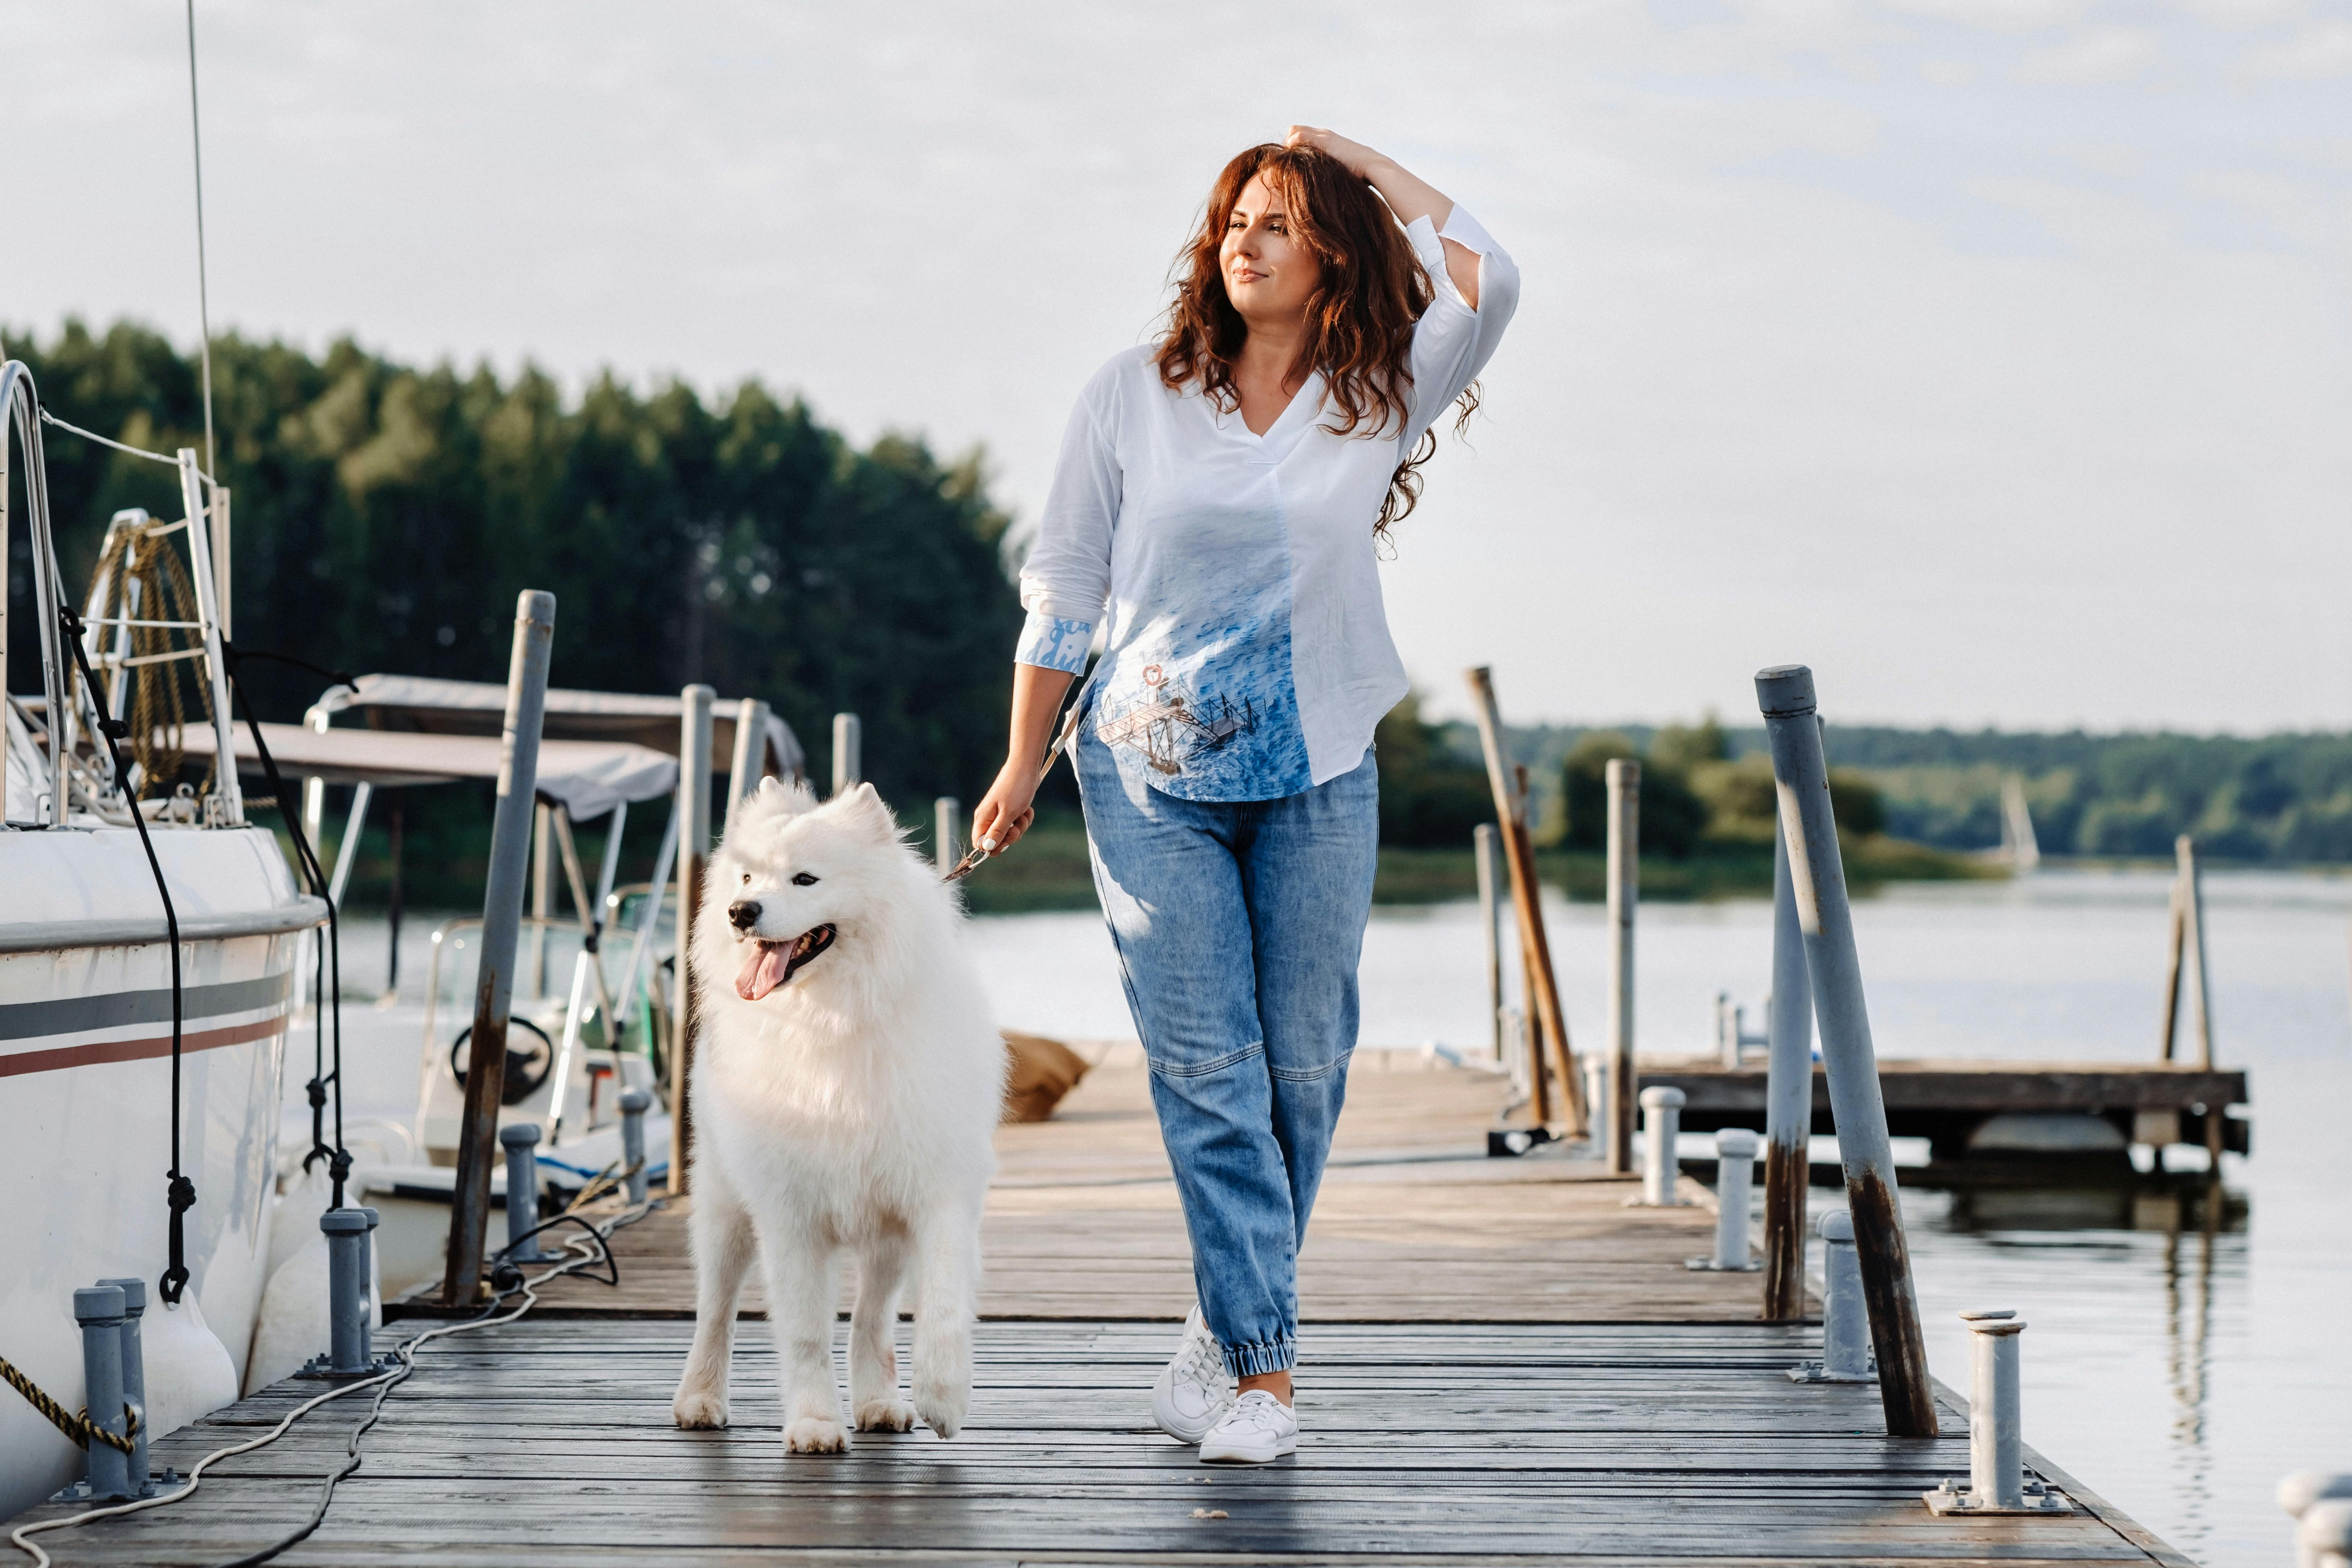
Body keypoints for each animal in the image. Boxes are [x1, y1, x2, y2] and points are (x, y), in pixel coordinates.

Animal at [672, 780, 1002, 1457]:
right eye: (748, 875)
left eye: (805, 879)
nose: (741, 911)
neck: (831, 1018)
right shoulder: (790, 1214)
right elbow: (803, 1332)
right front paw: (814, 1423)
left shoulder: (938, 1195)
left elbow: (942, 1305)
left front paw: (943, 1396)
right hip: (724, 1211)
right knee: (715, 1309)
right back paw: (699, 1400)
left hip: (884, 1238)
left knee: (871, 1320)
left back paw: (879, 1403)